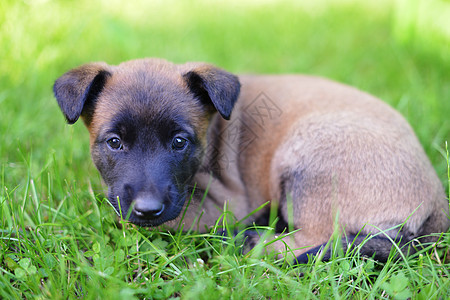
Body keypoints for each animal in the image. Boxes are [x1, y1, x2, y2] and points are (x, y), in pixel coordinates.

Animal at [53, 58, 450, 262]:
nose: (147, 209)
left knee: (317, 238)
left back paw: (253, 242)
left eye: (180, 142)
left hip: (307, 155)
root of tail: (437, 205)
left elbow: (139, 220)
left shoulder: (224, 204)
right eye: (114, 143)